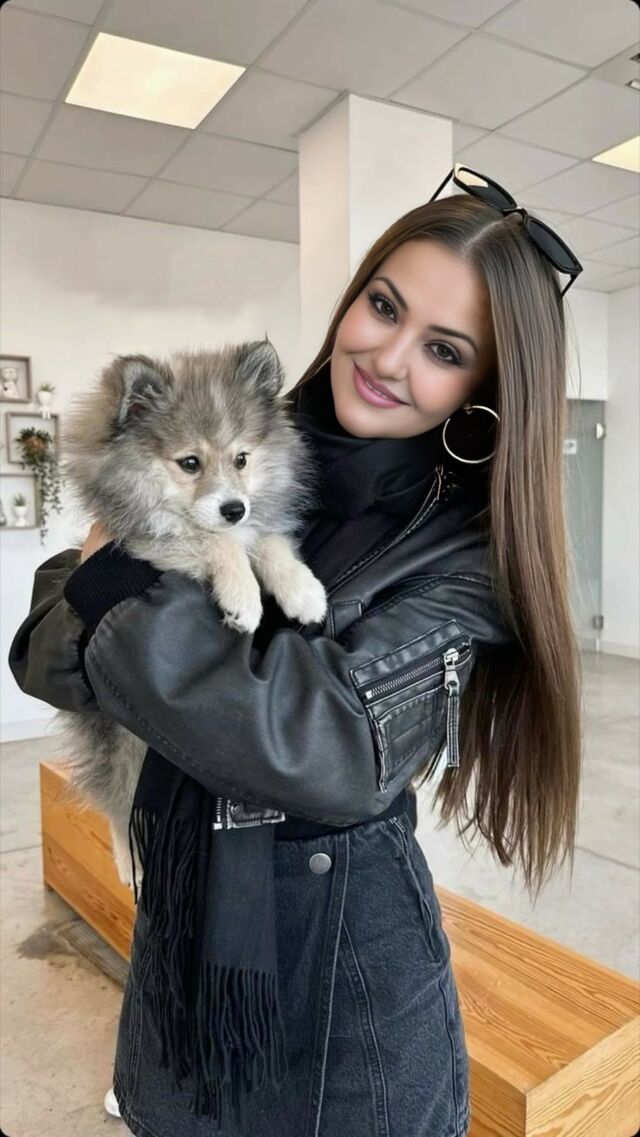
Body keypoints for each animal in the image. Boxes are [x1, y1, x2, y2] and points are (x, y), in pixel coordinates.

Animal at [54, 339, 327, 887]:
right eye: (190, 463)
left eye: (241, 459)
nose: (234, 507)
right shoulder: (140, 541)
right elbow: (212, 541)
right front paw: (242, 595)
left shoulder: (254, 523)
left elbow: (266, 540)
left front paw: (302, 589)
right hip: (116, 741)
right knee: (117, 802)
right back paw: (128, 861)